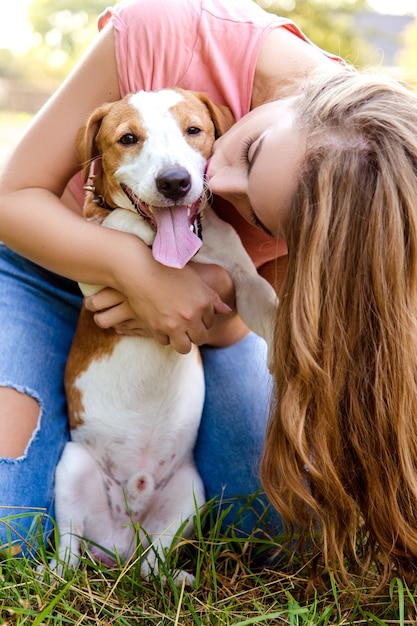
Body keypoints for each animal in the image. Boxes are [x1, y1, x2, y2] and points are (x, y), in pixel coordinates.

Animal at [52, 89, 278, 584]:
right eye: (128, 138)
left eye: (194, 130)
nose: (174, 182)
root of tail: (119, 542)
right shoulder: (95, 281)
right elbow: (114, 225)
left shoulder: (245, 284)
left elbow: (270, 305)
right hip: (72, 469)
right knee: (69, 551)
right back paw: (51, 573)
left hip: (190, 491)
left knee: (153, 563)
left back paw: (175, 579)